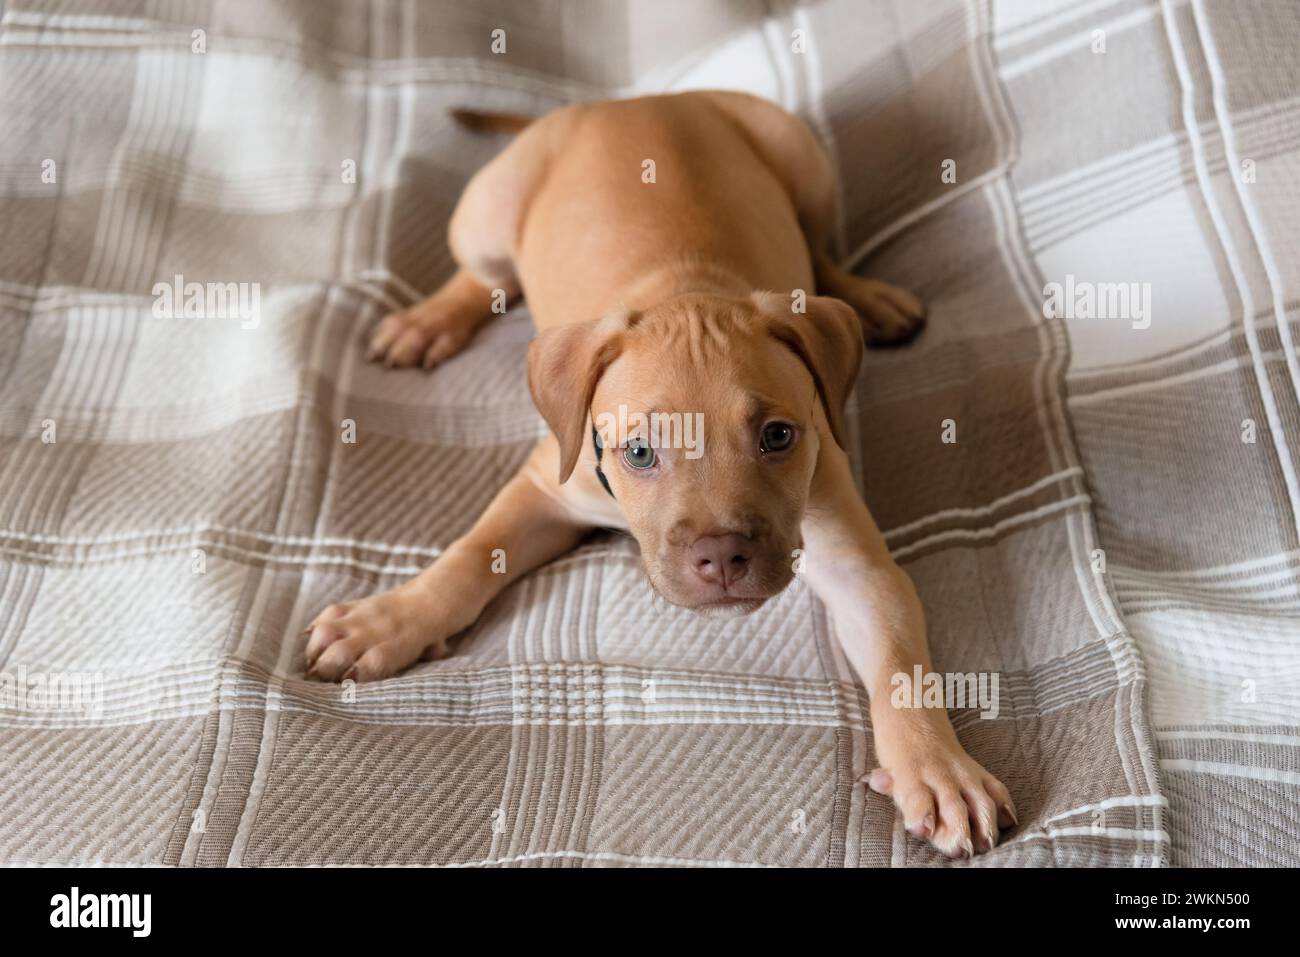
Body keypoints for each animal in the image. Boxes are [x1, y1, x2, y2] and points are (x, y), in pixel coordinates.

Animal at [304, 91, 1013, 858]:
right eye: (639, 452)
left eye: (778, 436)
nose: (722, 556)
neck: (687, 289)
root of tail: (618, 101)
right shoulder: (546, 485)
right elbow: (469, 555)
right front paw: (387, 619)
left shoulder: (855, 559)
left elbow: (900, 661)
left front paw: (939, 770)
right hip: (485, 214)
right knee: (486, 275)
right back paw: (429, 320)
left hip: (798, 156)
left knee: (821, 249)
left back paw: (870, 298)